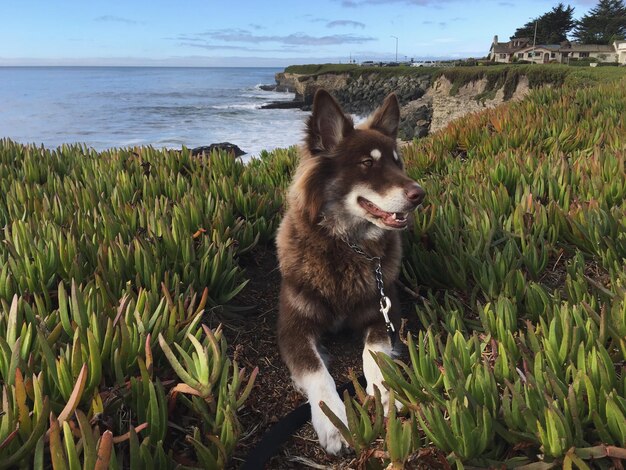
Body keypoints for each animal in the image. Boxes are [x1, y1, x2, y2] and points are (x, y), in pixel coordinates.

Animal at [276, 89, 422, 456]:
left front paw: (385, 391)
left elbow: (374, 354)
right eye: (368, 163)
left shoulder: (384, 311)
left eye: (397, 162)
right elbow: (317, 372)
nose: (420, 195)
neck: (346, 246)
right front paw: (334, 421)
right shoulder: (293, 328)